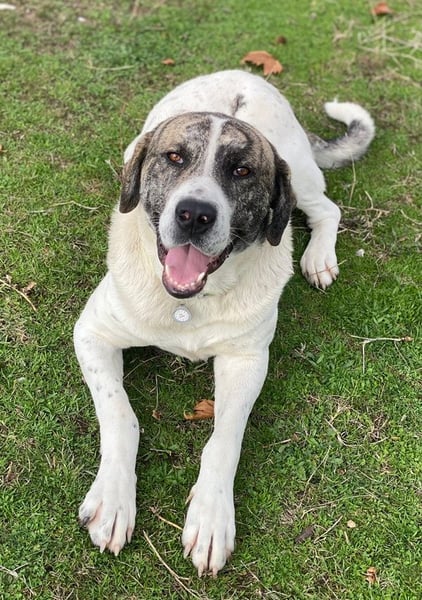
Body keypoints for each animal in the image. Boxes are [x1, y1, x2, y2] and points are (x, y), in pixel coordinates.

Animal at [74, 70, 374, 576]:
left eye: (242, 171)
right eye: (174, 157)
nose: (195, 214)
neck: (188, 303)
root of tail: (245, 75)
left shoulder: (246, 360)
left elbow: (224, 438)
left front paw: (212, 516)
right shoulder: (92, 333)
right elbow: (120, 414)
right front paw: (114, 499)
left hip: (301, 174)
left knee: (326, 209)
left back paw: (318, 258)